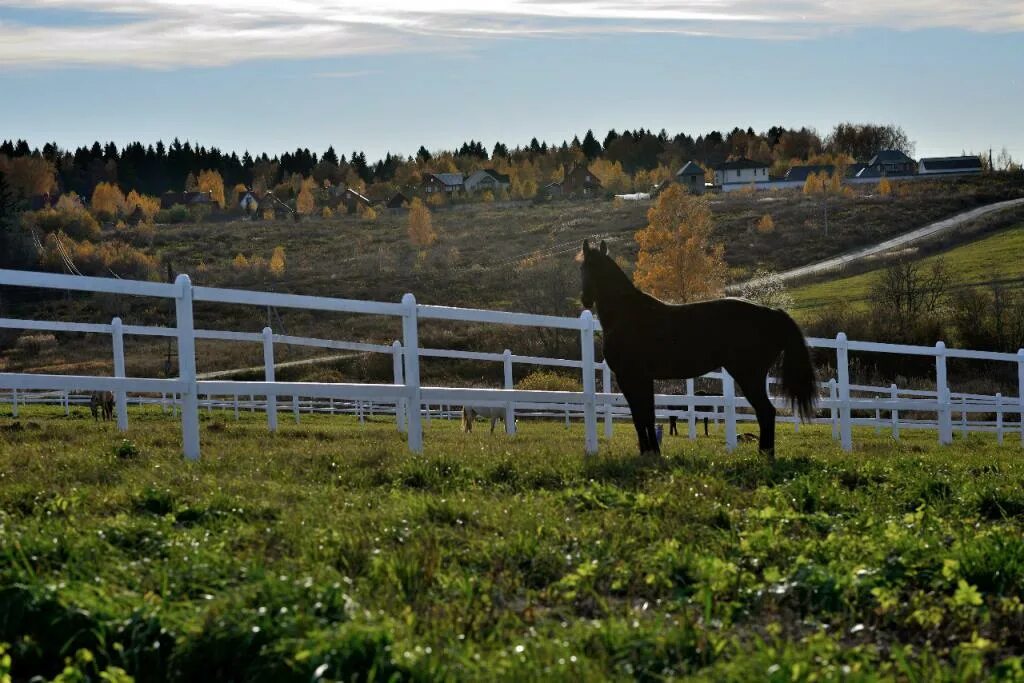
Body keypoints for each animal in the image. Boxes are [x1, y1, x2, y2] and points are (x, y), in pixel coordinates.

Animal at [585, 240, 815, 458]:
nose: (585, 300)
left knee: (766, 412)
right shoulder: (643, 379)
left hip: (749, 375)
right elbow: (647, 415)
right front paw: (653, 452)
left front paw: (647, 452)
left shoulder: (630, 377)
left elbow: (639, 416)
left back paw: (765, 455)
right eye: (585, 267)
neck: (627, 314)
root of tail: (773, 313)